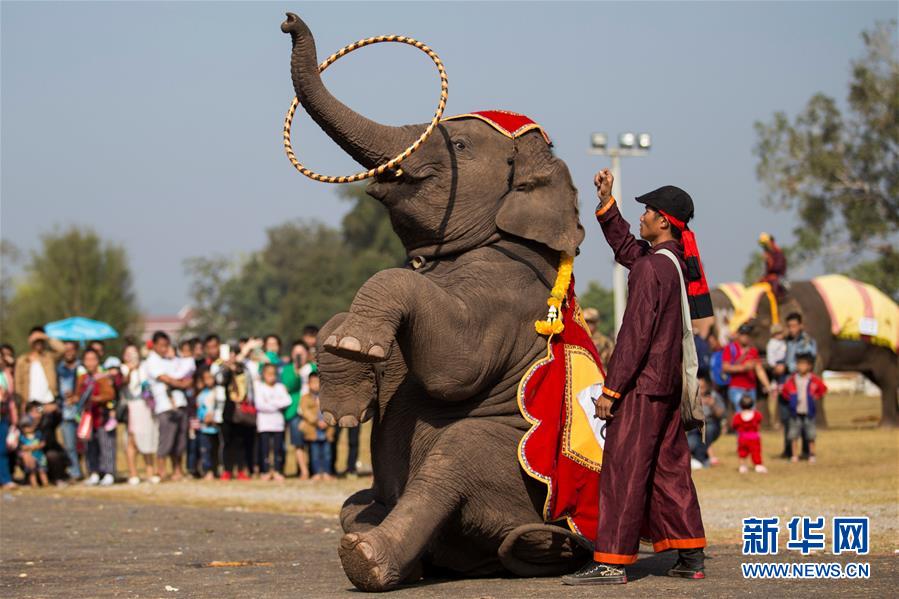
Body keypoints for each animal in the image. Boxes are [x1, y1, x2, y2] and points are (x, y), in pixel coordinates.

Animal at [284, 11, 596, 592]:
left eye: (462, 148)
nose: (288, 20)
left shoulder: (507, 296)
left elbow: (456, 368)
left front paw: (353, 349)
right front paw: (345, 402)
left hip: (513, 474)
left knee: (453, 457)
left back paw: (367, 559)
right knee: (356, 503)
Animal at [712, 282, 896, 426]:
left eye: (757, 326)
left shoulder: (816, 332)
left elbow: (814, 367)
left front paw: (816, 425)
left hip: (885, 348)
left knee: (886, 379)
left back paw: (886, 426)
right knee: (881, 380)